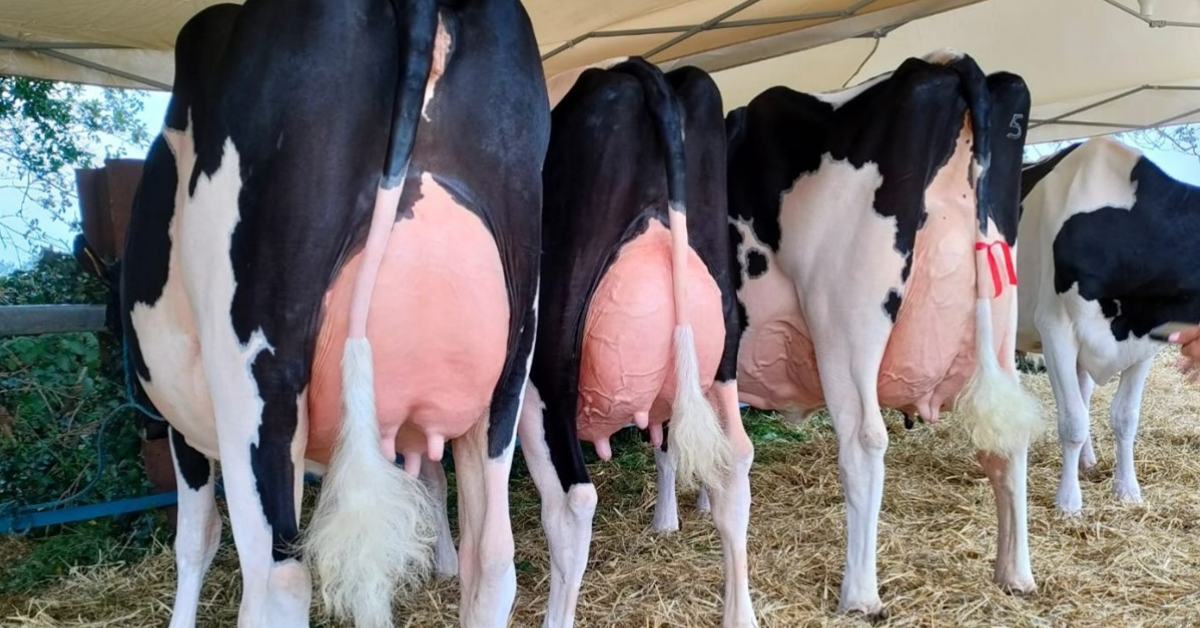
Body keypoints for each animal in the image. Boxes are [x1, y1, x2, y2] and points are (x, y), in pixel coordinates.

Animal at [117, 2, 549, 624]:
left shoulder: (182, 428)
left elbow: (195, 537)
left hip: (255, 383)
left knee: (278, 579)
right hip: (510, 369)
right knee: (492, 559)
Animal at [710, 50, 1041, 619]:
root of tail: (941, 65)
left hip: (846, 321)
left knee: (864, 440)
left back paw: (860, 595)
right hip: (999, 324)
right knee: (1009, 438)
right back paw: (1014, 573)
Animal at [1012, 137, 1200, 516]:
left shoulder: (1145, 340)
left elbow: (1125, 418)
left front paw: (1127, 490)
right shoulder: (1055, 327)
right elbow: (1073, 420)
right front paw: (1068, 503)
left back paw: (1087, 462)